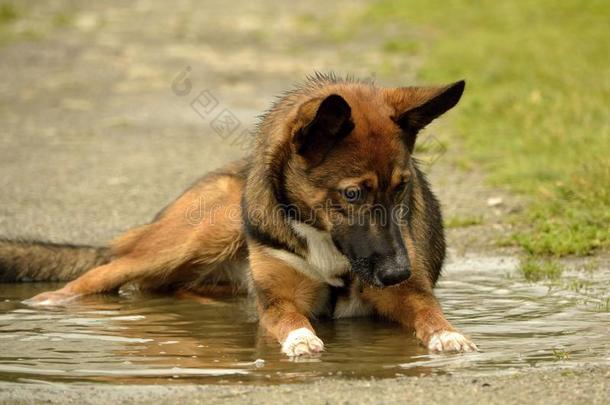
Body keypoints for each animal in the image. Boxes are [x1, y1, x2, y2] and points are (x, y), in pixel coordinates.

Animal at [0, 74, 476, 356]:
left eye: (401, 188)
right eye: (353, 193)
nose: (397, 271)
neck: (324, 237)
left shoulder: (407, 293)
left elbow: (427, 309)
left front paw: (448, 333)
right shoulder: (280, 299)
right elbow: (290, 318)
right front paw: (301, 339)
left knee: (166, 286)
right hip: (204, 232)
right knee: (106, 271)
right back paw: (50, 300)